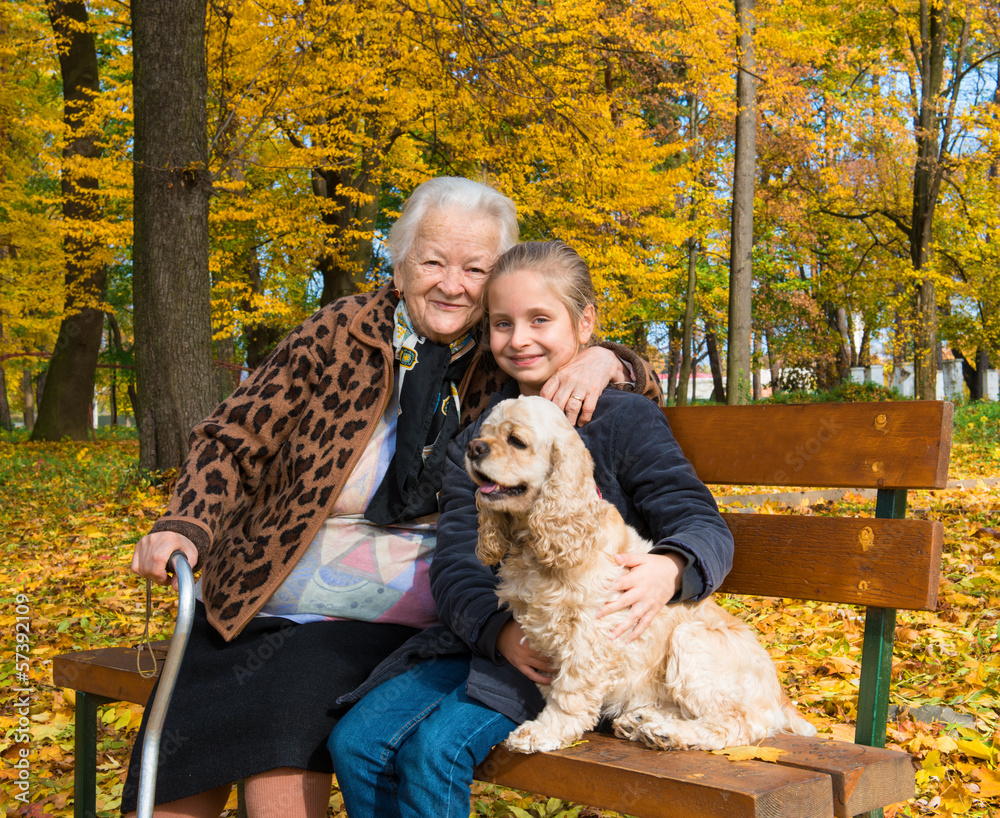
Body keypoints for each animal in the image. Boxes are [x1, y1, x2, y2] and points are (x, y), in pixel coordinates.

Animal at [464, 396, 816, 752]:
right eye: (484, 434)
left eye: (516, 441)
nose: (472, 448)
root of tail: (780, 698)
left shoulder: (591, 633)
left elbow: (569, 693)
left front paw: (545, 731)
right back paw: (641, 721)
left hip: (690, 641)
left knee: (738, 724)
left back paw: (667, 733)